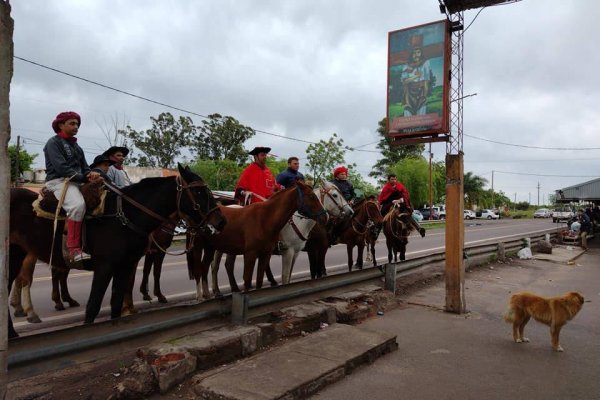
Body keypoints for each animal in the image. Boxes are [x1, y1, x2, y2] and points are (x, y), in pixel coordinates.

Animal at [7, 165, 225, 338]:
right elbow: (94, 305)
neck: (125, 216)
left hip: (17, 254)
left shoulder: (125, 266)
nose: (221, 221)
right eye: (199, 192)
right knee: (26, 280)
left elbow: (116, 303)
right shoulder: (106, 267)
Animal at [189, 180, 326, 298]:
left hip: (212, 247)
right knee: (204, 269)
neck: (265, 219)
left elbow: (260, 280)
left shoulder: (266, 254)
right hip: (201, 247)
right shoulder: (252, 254)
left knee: (209, 267)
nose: (325, 216)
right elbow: (248, 279)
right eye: (312, 196)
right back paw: (204, 296)